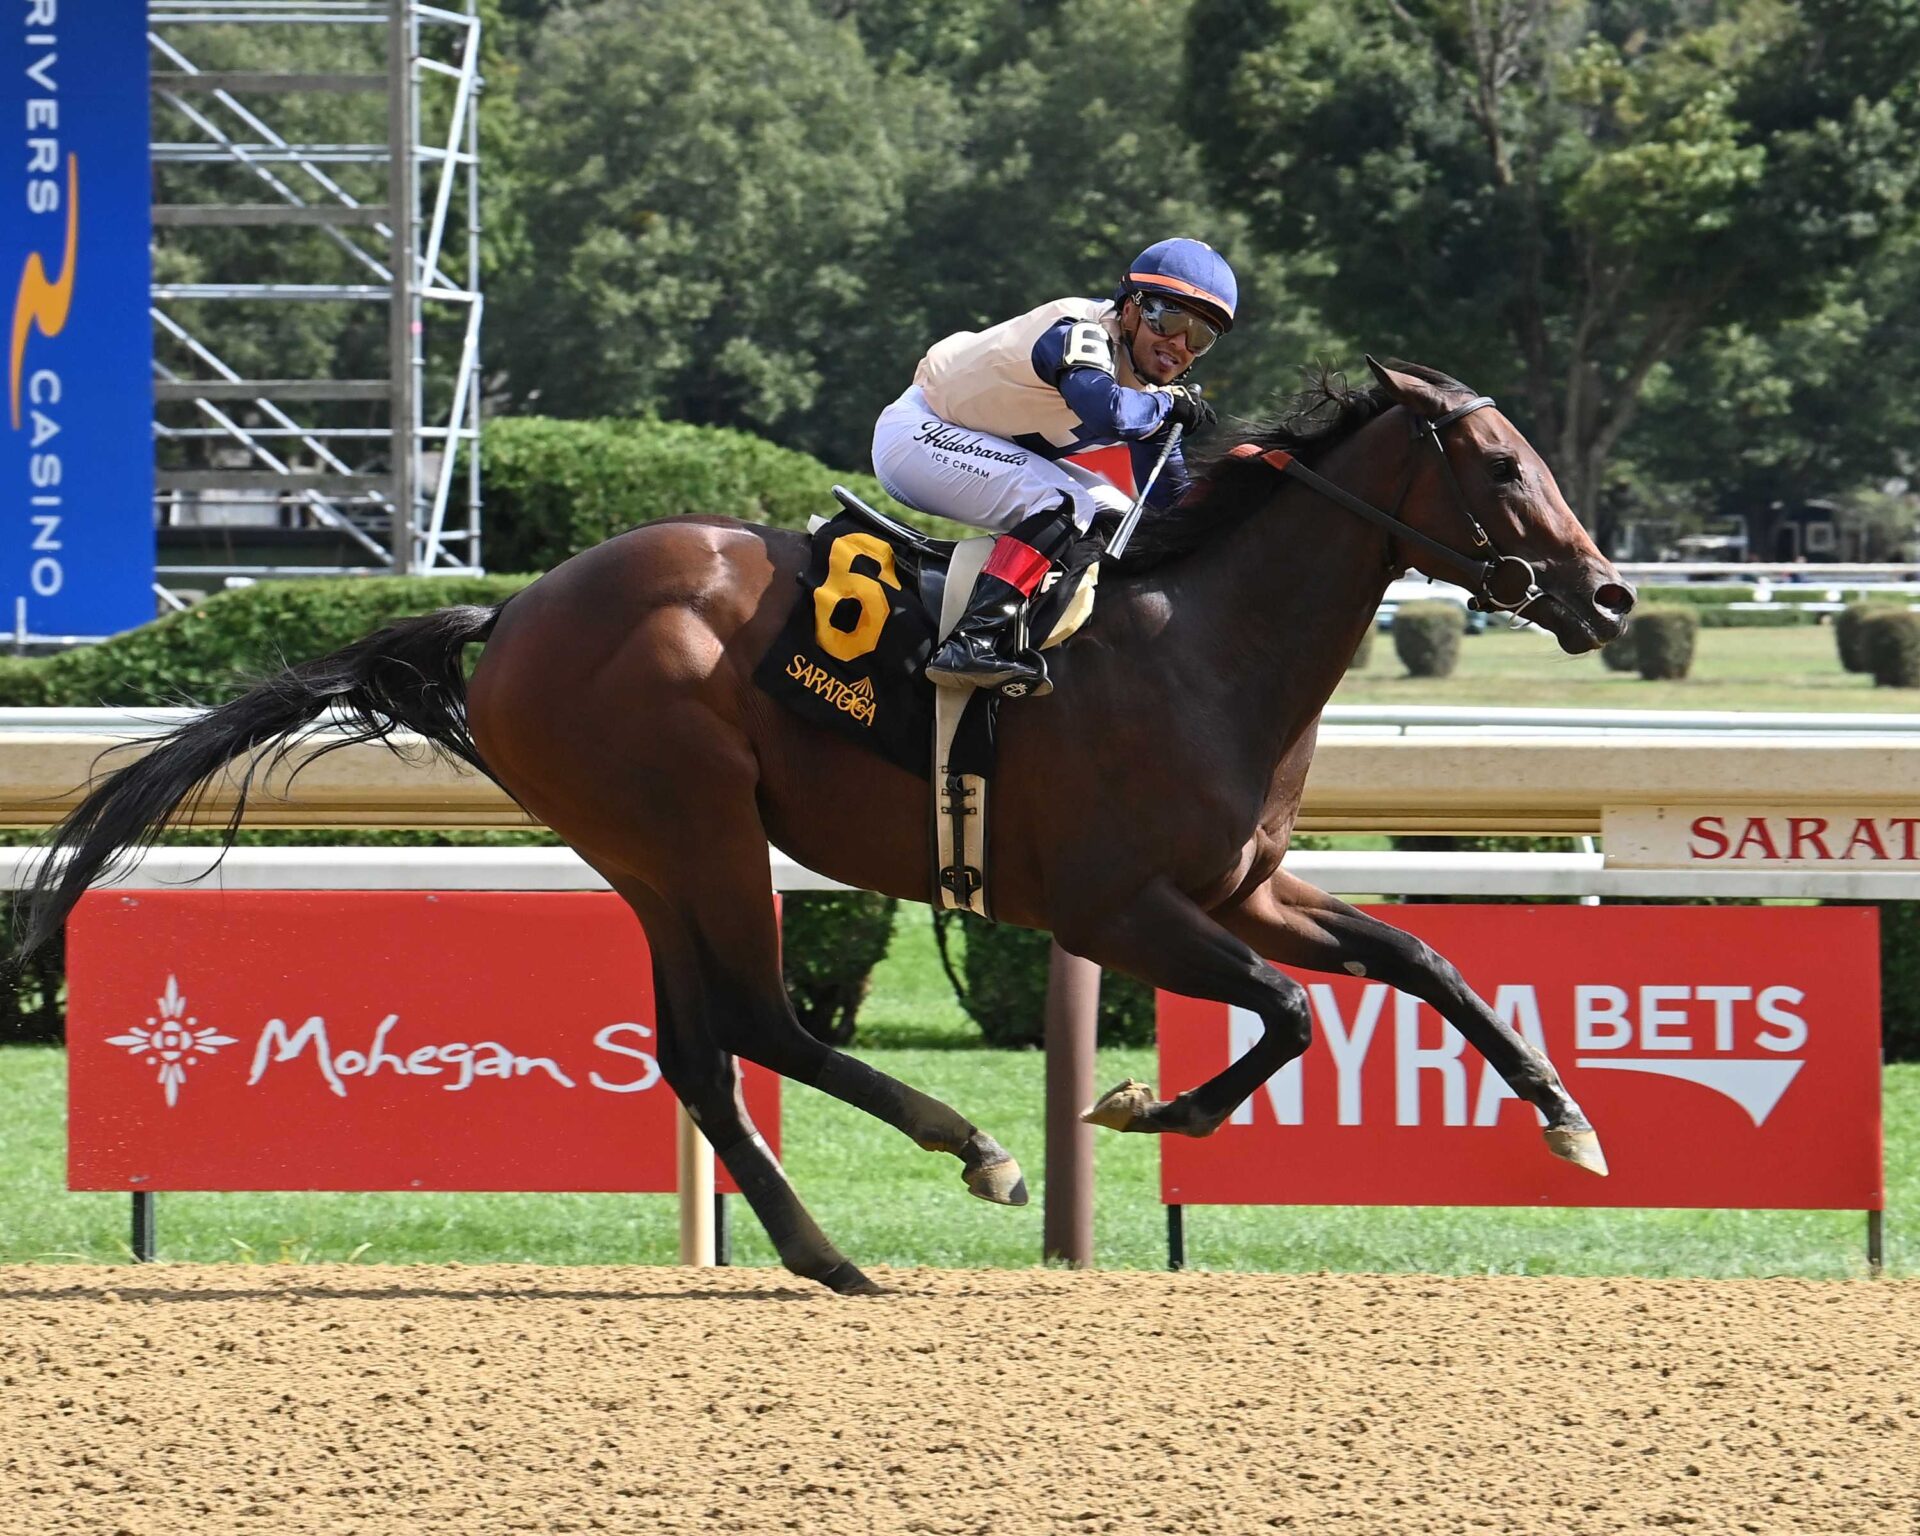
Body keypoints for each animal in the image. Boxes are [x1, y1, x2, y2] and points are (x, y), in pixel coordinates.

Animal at [20, 358, 1634, 1294]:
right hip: (695, 824)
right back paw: (968, 1149)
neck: (1198, 644)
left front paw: (1565, 1117)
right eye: (1502, 466)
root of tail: (512, 611)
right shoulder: (1114, 908)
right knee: (757, 1018)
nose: (1611, 595)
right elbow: (1293, 1012)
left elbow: (1417, 962)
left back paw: (826, 1250)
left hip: (648, 854)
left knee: (701, 1046)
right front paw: (1141, 1108)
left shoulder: (1239, 887)